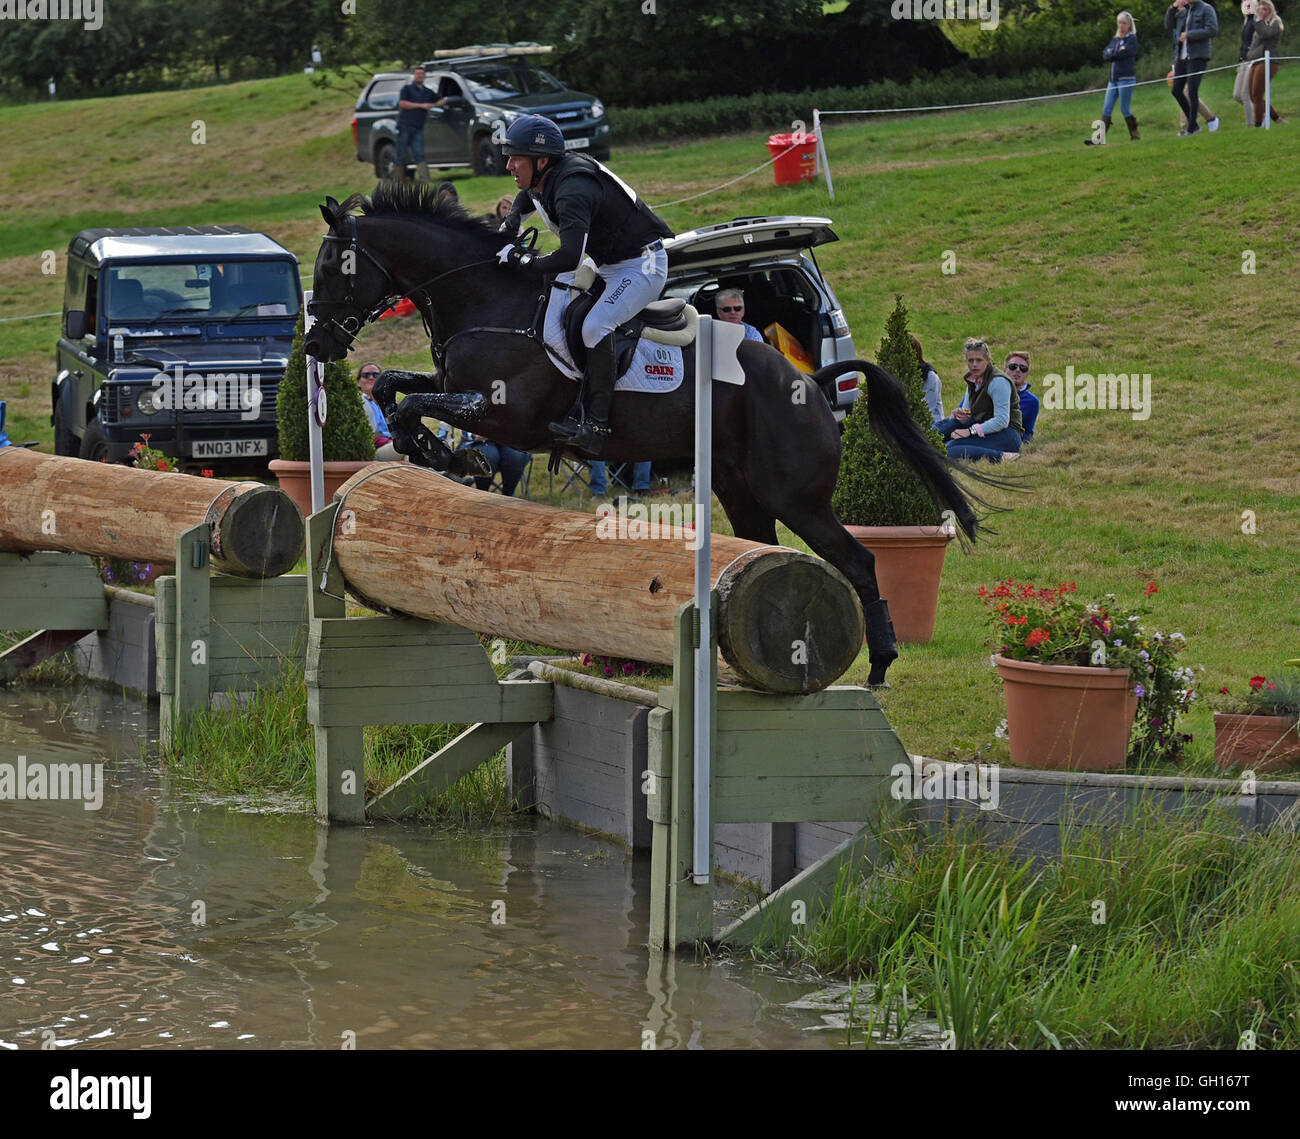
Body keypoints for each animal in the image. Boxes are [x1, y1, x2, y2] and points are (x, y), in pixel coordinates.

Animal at [304, 182, 977, 681]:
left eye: (337, 267)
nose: (314, 345)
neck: (484, 298)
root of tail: (809, 381)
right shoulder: (458, 392)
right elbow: (394, 392)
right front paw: (441, 456)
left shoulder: (503, 413)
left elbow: (412, 404)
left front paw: (455, 460)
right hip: (741, 489)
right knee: (764, 546)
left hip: (796, 496)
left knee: (860, 559)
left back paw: (881, 665)